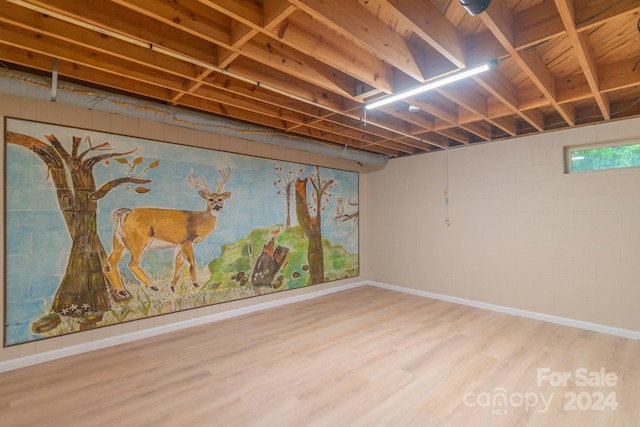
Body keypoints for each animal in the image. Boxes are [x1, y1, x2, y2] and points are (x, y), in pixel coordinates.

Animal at [105, 166, 232, 298]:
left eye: (220, 199)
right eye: (210, 199)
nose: (217, 206)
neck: (198, 221)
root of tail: (125, 212)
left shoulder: (178, 244)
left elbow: (178, 265)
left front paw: (172, 287)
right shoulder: (187, 240)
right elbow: (191, 262)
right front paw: (197, 285)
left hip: (119, 241)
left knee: (109, 264)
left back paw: (122, 291)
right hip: (140, 239)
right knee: (132, 264)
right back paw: (152, 285)